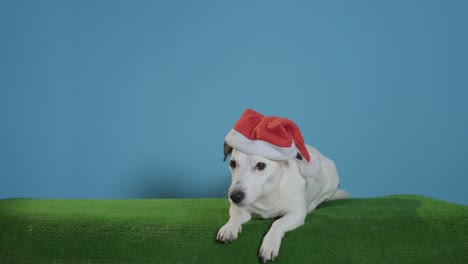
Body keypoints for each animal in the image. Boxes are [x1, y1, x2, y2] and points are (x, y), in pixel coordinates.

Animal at [217, 143, 348, 262]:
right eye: (232, 163)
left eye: (261, 165)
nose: (234, 196)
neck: (267, 194)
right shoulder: (239, 209)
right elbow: (235, 216)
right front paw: (229, 227)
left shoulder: (296, 214)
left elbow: (278, 223)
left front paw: (270, 243)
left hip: (330, 184)